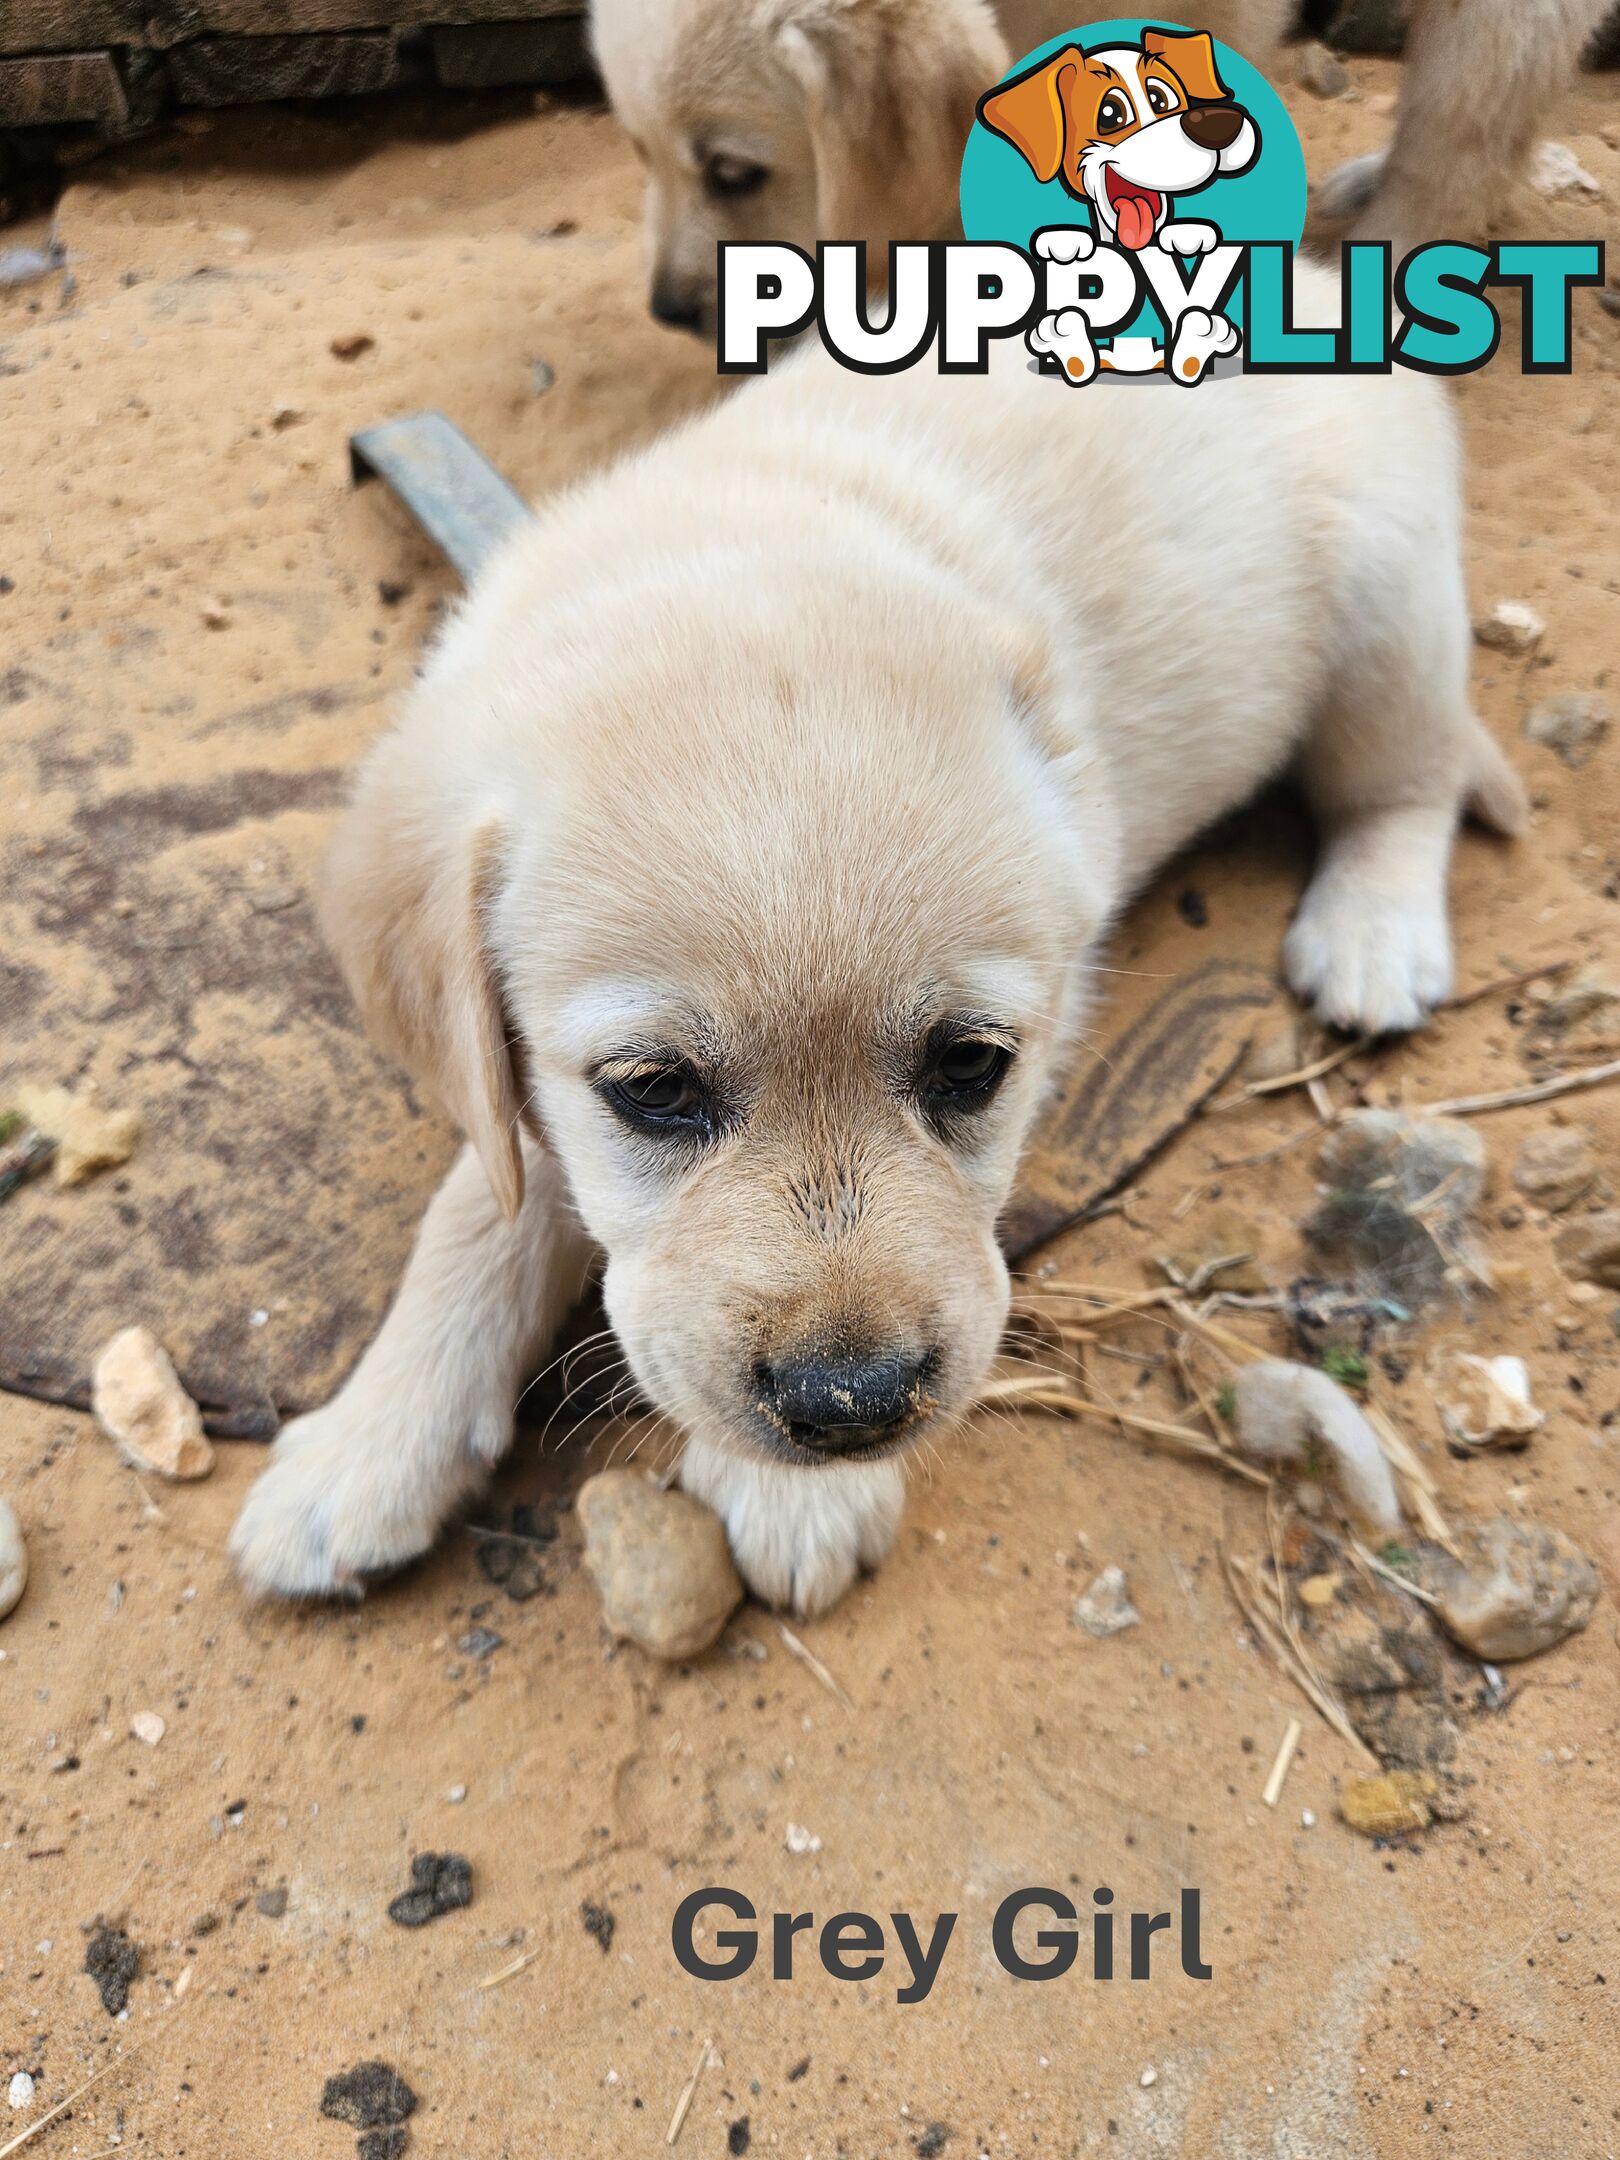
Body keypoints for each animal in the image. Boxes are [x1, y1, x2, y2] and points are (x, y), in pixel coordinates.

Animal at [228, 261, 1520, 1615]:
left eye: (972, 1066)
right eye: (652, 1089)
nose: (846, 1407)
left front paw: (800, 1499)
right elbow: (484, 1202)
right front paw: (369, 1446)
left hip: (1390, 603)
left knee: (1407, 778)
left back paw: (1375, 931)